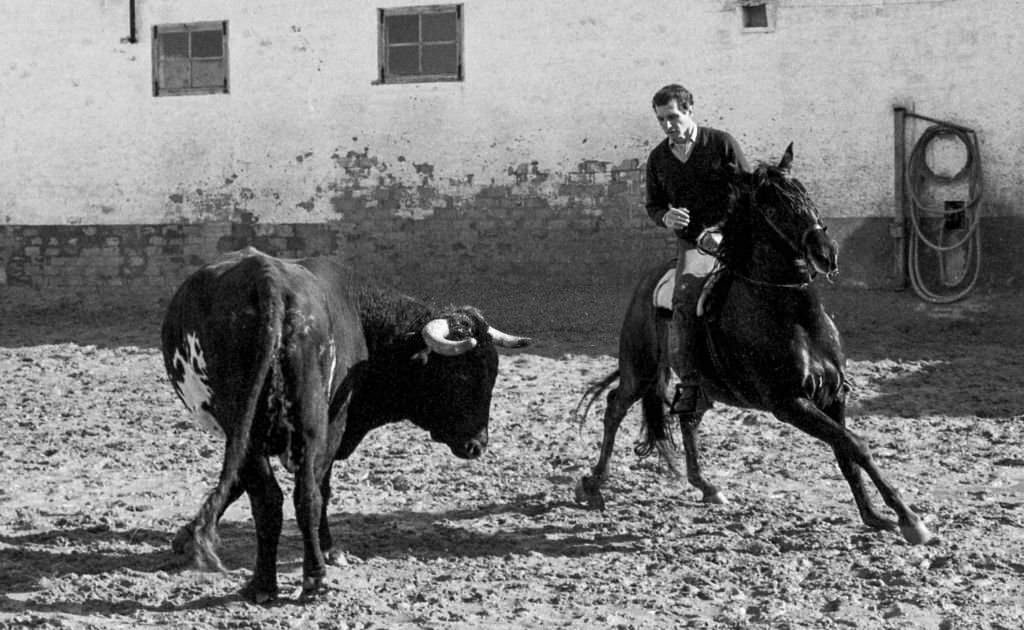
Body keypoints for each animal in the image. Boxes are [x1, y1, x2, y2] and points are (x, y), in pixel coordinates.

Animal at [161, 248, 528, 602]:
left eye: (492, 375)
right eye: (460, 376)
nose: (477, 444)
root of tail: (269, 282)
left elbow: (244, 482)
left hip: (271, 426)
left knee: (280, 497)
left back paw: (272, 583)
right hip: (302, 424)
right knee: (301, 495)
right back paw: (307, 579)